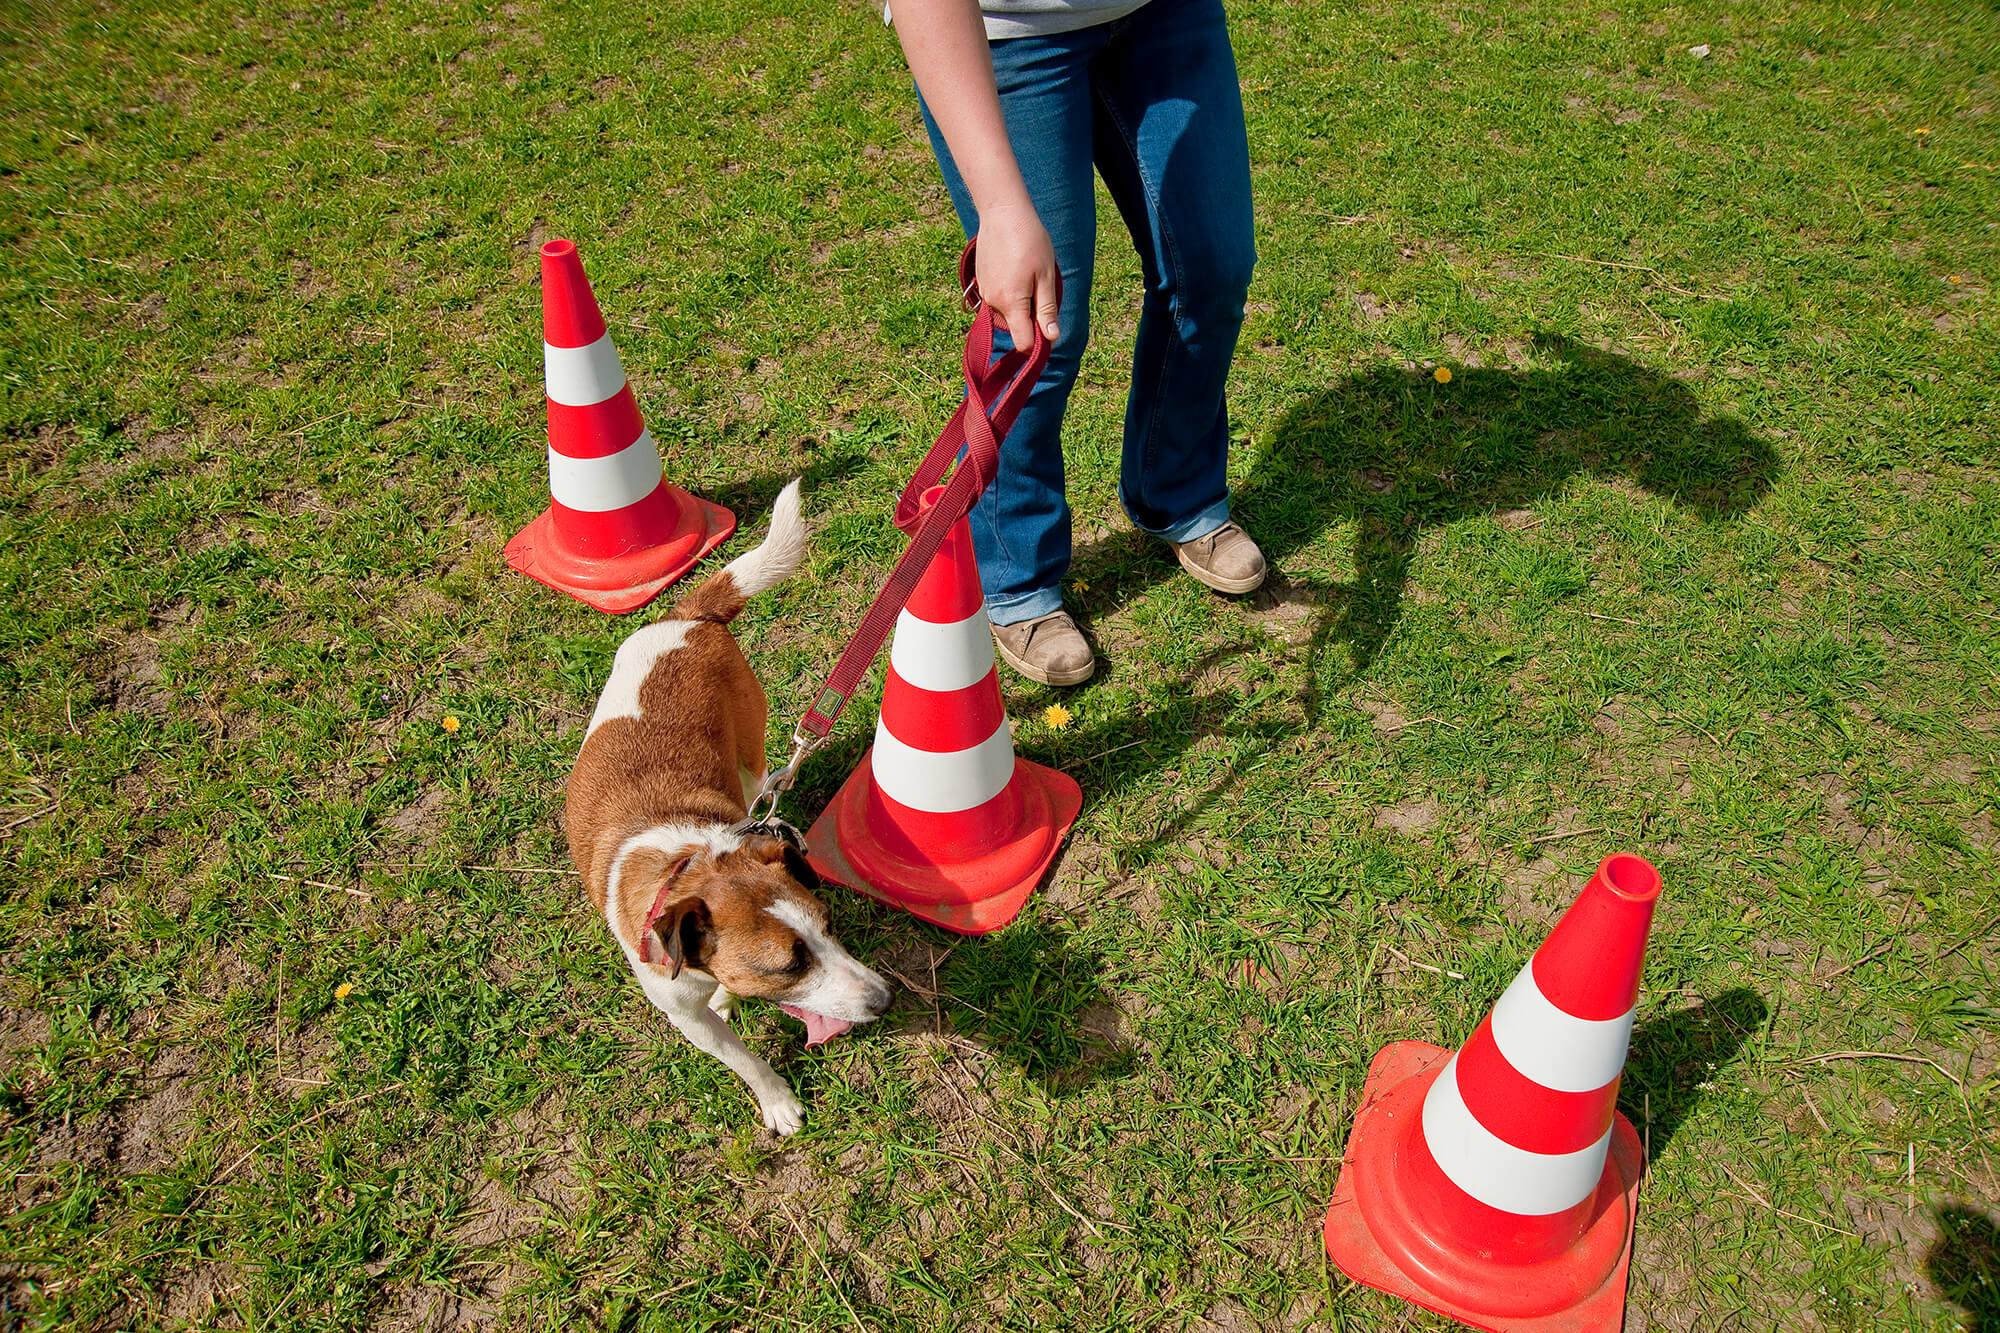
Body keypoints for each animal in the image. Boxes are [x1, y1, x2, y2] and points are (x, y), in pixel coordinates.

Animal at [572, 482, 900, 1136]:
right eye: (788, 966)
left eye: (830, 927)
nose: (883, 1000)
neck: (689, 863)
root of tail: (686, 617)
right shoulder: (686, 1016)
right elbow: (743, 1058)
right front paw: (776, 1099)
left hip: (749, 752)